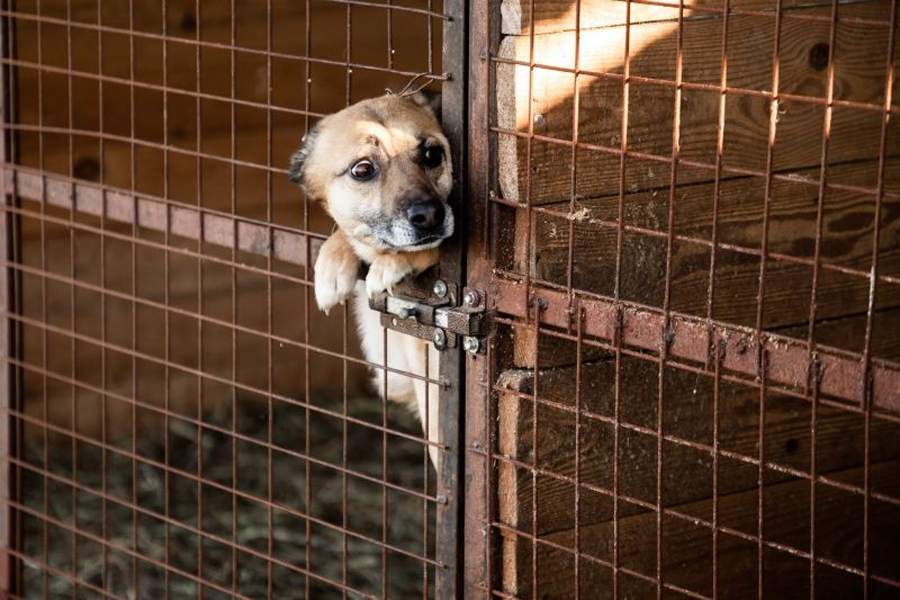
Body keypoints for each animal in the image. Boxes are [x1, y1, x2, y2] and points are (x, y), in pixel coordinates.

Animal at [288, 90, 454, 468]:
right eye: (362, 169)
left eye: (432, 154)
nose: (430, 215)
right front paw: (333, 260)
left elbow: (434, 249)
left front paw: (394, 261)